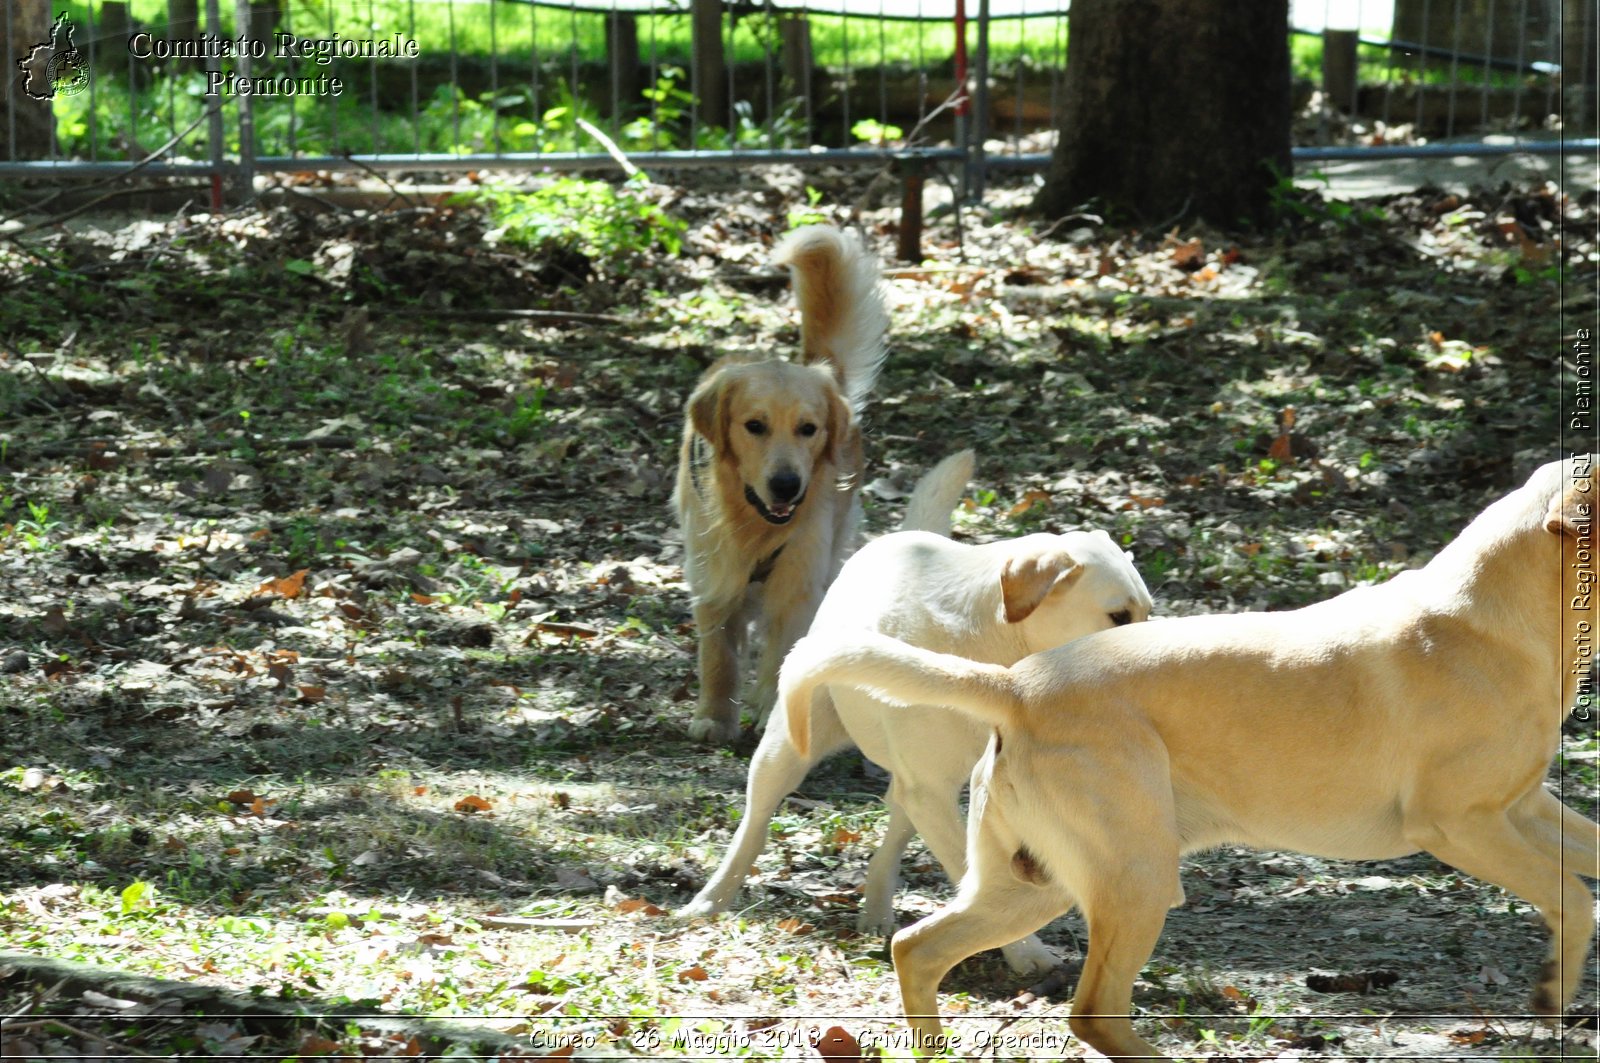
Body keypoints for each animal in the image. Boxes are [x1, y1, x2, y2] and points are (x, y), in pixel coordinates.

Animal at [672, 225, 889, 742]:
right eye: (754, 426)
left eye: (808, 429)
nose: (787, 485)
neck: (754, 522)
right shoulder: (713, 574)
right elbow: (718, 655)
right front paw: (714, 716)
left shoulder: (797, 580)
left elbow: (782, 653)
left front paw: (771, 712)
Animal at [681, 448, 1158, 979]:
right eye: (1118, 616)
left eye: (1147, 611)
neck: (994, 646)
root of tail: (899, 537)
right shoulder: (934, 789)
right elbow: (975, 878)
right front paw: (1024, 949)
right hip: (789, 749)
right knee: (756, 821)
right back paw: (711, 899)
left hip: (916, 787)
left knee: (894, 826)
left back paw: (875, 907)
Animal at [784, 457, 1600, 1063]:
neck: (1497, 617)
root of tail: (1017, 686)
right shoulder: (1461, 825)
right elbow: (1572, 894)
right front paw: (1552, 992)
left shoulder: (1524, 809)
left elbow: (1585, 871)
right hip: (1136, 880)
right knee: (1092, 1011)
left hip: (1031, 886)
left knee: (918, 948)